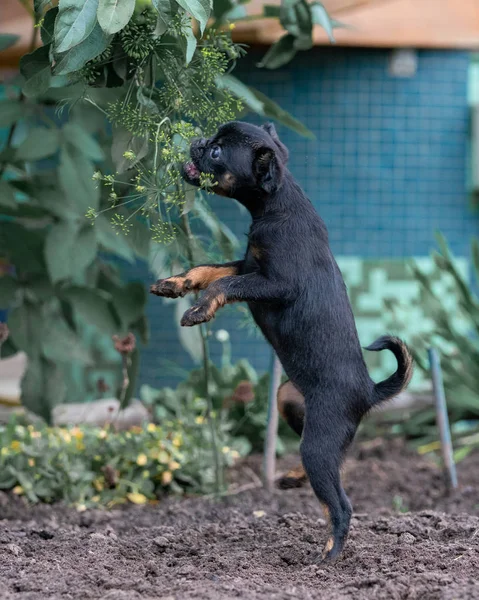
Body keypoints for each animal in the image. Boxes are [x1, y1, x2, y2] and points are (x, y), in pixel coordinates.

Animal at [150, 122, 412, 564]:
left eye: (217, 152)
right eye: (211, 141)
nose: (198, 143)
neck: (275, 205)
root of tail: (369, 391)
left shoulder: (275, 282)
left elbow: (222, 284)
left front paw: (199, 310)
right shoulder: (247, 264)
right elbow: (209, 270)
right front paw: (175, 283)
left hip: (320, 440)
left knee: (340, 503)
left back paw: (328, 556)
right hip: (289, 400)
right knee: (330, 464)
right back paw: (292, 478)